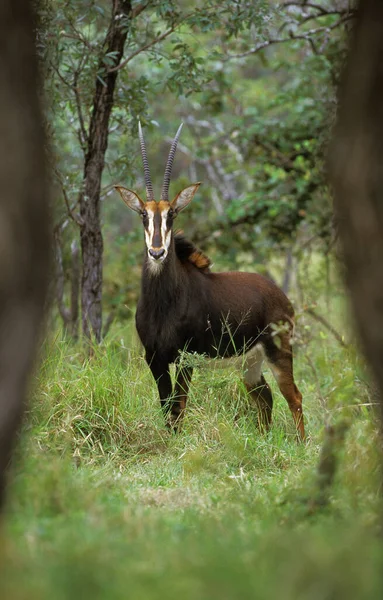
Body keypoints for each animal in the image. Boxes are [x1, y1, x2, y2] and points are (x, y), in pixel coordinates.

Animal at [114, 122, 306, 440]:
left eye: (171, 213)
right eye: (143, 214)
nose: (157, 252)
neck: (163, 303)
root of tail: (281, 295)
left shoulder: (185, 357)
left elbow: (178, 407)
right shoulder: (154, 358)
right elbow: (166, 408)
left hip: (279, 350)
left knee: (293, 396)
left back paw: (302, 444)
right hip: (250, 362)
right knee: (264, 396)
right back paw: (263, 440)